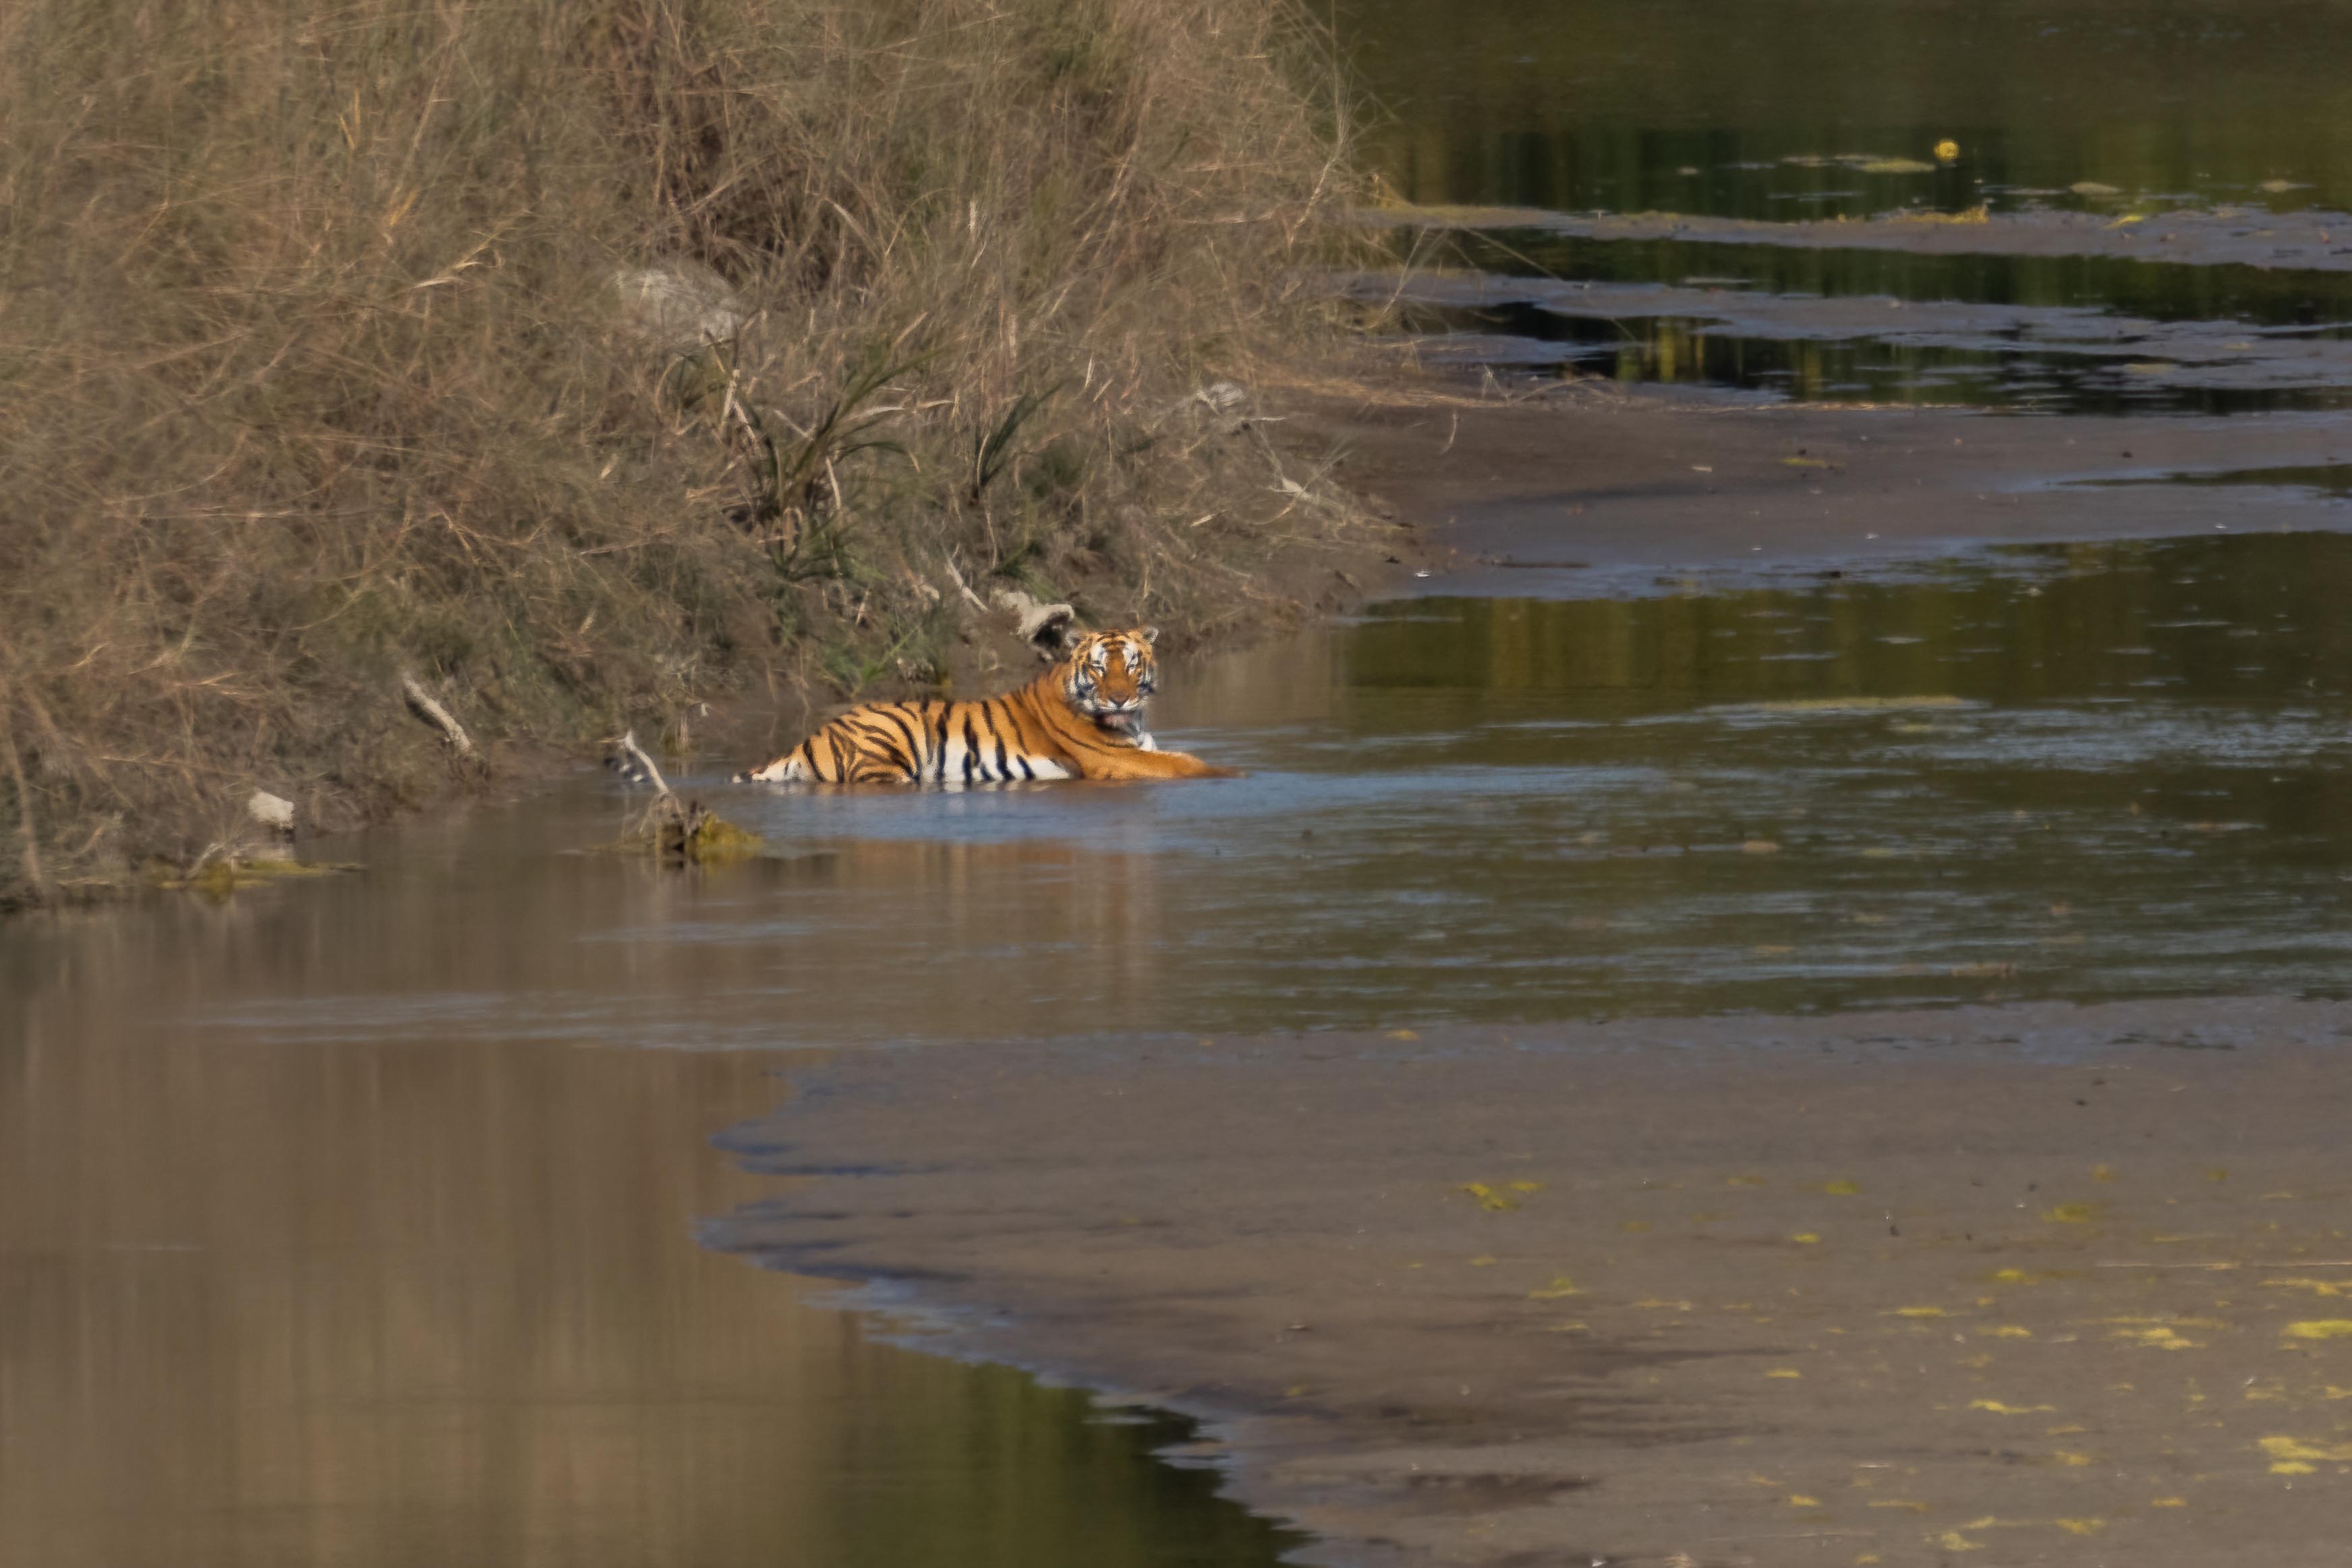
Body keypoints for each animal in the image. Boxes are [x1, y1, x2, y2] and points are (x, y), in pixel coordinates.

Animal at [734, 627, 1240, 785]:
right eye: (1098, 668)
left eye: (1132, 664)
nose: (1119, 696)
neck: (1132, 722)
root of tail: (807, 740)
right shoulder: (1116, 760)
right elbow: (1190, 765)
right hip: (887, 744)